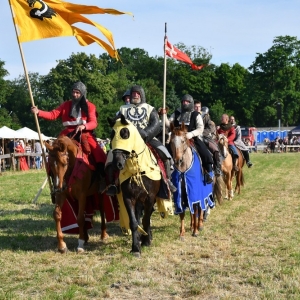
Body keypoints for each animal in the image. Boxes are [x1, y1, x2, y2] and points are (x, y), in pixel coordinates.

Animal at [107, 113, 166, 256]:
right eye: (112, 134)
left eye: (125, 133)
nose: (117, 163)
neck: (137, 170)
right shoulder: (129, 198)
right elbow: (134, 222)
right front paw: (135, 247)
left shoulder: (150, 198)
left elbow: (146, 219)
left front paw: (146, 241)